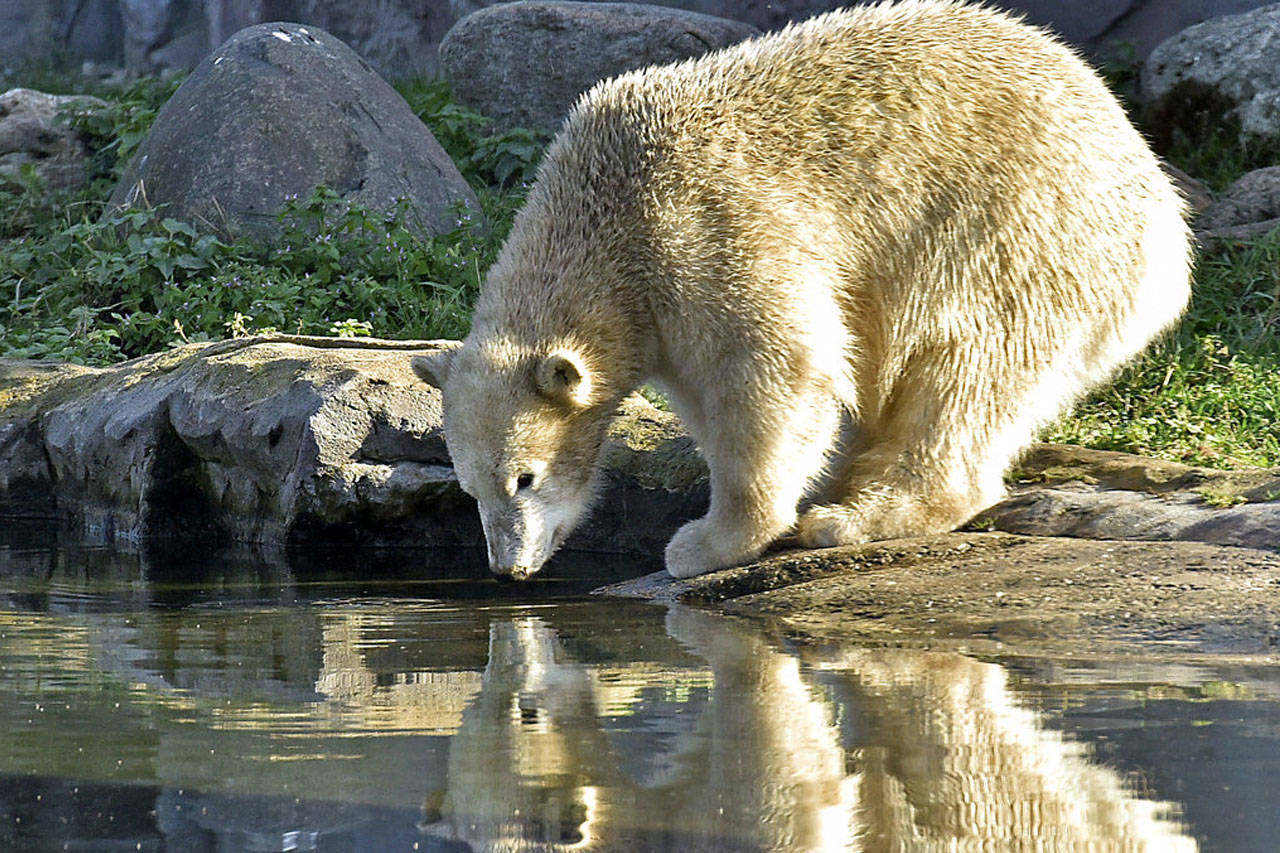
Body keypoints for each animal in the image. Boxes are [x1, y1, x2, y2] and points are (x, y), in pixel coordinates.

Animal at [414, 0, 1192, 578]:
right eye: (468, 488)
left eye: (525, 477)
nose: (508, 568)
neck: (606, 204)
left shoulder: (703, 232)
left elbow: (773, 370)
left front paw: (705, 542)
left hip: (1015, 231)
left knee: (968, 366)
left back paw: (858, 515)